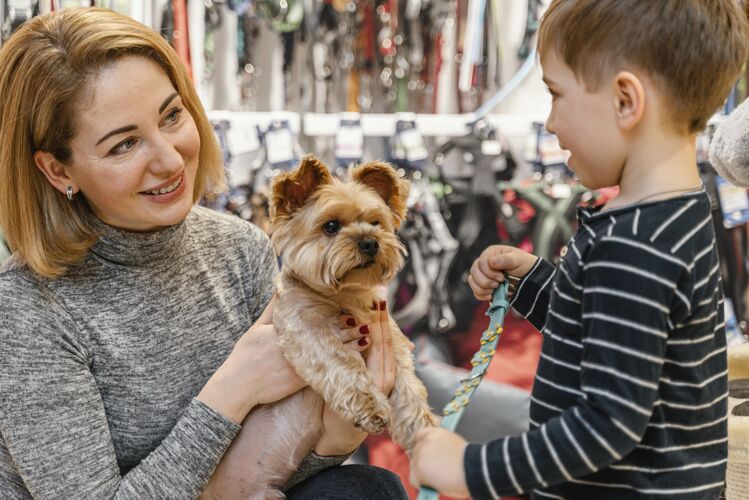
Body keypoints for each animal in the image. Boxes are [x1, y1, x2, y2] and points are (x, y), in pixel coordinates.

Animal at [205, 157, 438, 500]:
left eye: (376, 223)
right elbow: (342, 364)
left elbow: (410, 389)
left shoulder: (393, 342)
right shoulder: (306, 329)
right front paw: (370, 407)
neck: (345, 296)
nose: (370, 242)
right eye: (330, 226)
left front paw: (426, 433)